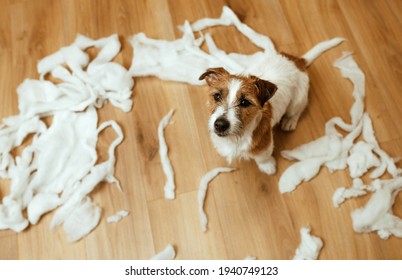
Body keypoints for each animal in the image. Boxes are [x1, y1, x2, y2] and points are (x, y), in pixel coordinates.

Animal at [199, 38, 344, 175]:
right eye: (217, 96)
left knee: (298, 109)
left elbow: (262, 157)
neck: (237, 135)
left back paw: (289, 121)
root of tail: (297, 60)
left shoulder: (265, 145)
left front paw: (267, 166)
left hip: (297, 100)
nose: (220, 125)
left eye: (245, 102)